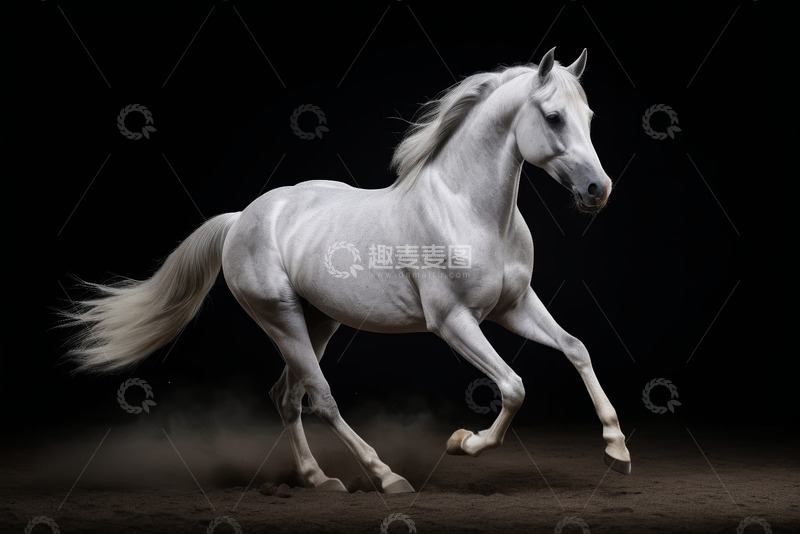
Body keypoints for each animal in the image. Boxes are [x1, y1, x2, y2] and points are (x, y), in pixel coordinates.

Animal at [63, 47, 631, 494]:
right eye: (553, 117)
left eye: (589, 116)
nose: (598, 191)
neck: (468, 210)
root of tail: (242, 217)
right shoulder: (453, 322)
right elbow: (513, 386)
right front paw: (462, 443)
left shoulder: (514, 307)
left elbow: (576, 348)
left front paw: (617, 450)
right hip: (282, 320)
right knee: (321, 400)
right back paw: (385, 477)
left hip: (318, 321)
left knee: (286, 397)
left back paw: (319, 479)